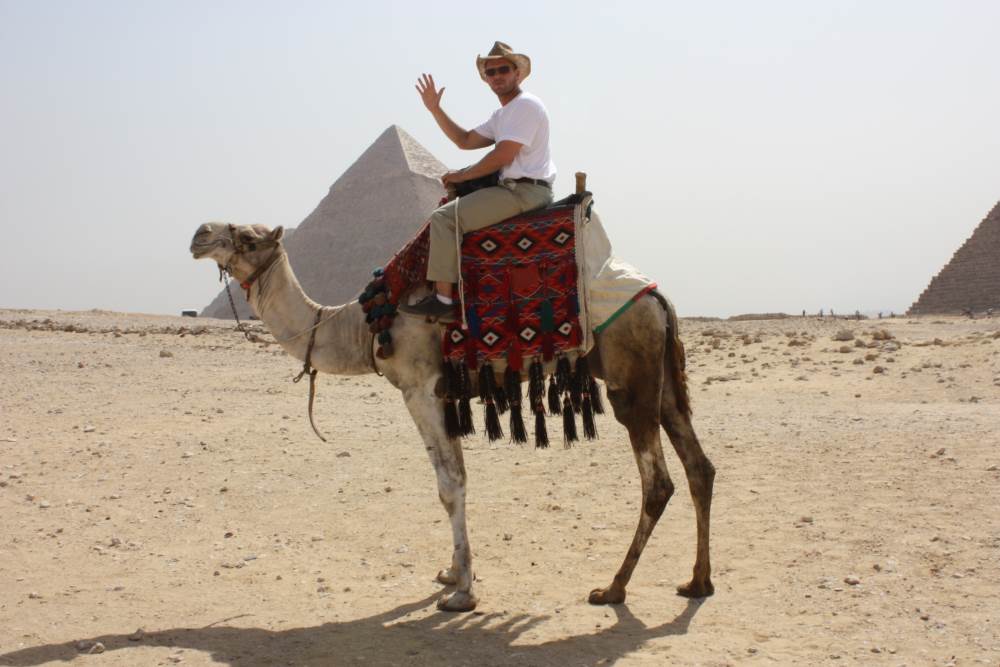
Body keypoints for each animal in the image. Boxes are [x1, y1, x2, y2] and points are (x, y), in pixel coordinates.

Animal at [191, 222, 716, 612]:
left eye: (248, 237)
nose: (200, 233)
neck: (361, 326)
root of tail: (658, 298)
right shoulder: (446, 394)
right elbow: (457, 477)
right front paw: (454, 572)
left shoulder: (419, 388)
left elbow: (449, 486)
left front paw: (463, 592)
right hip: (663, 382)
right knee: (699, 468)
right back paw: (697, 583)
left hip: (632, 379)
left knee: (658, 482)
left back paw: (612, 589)